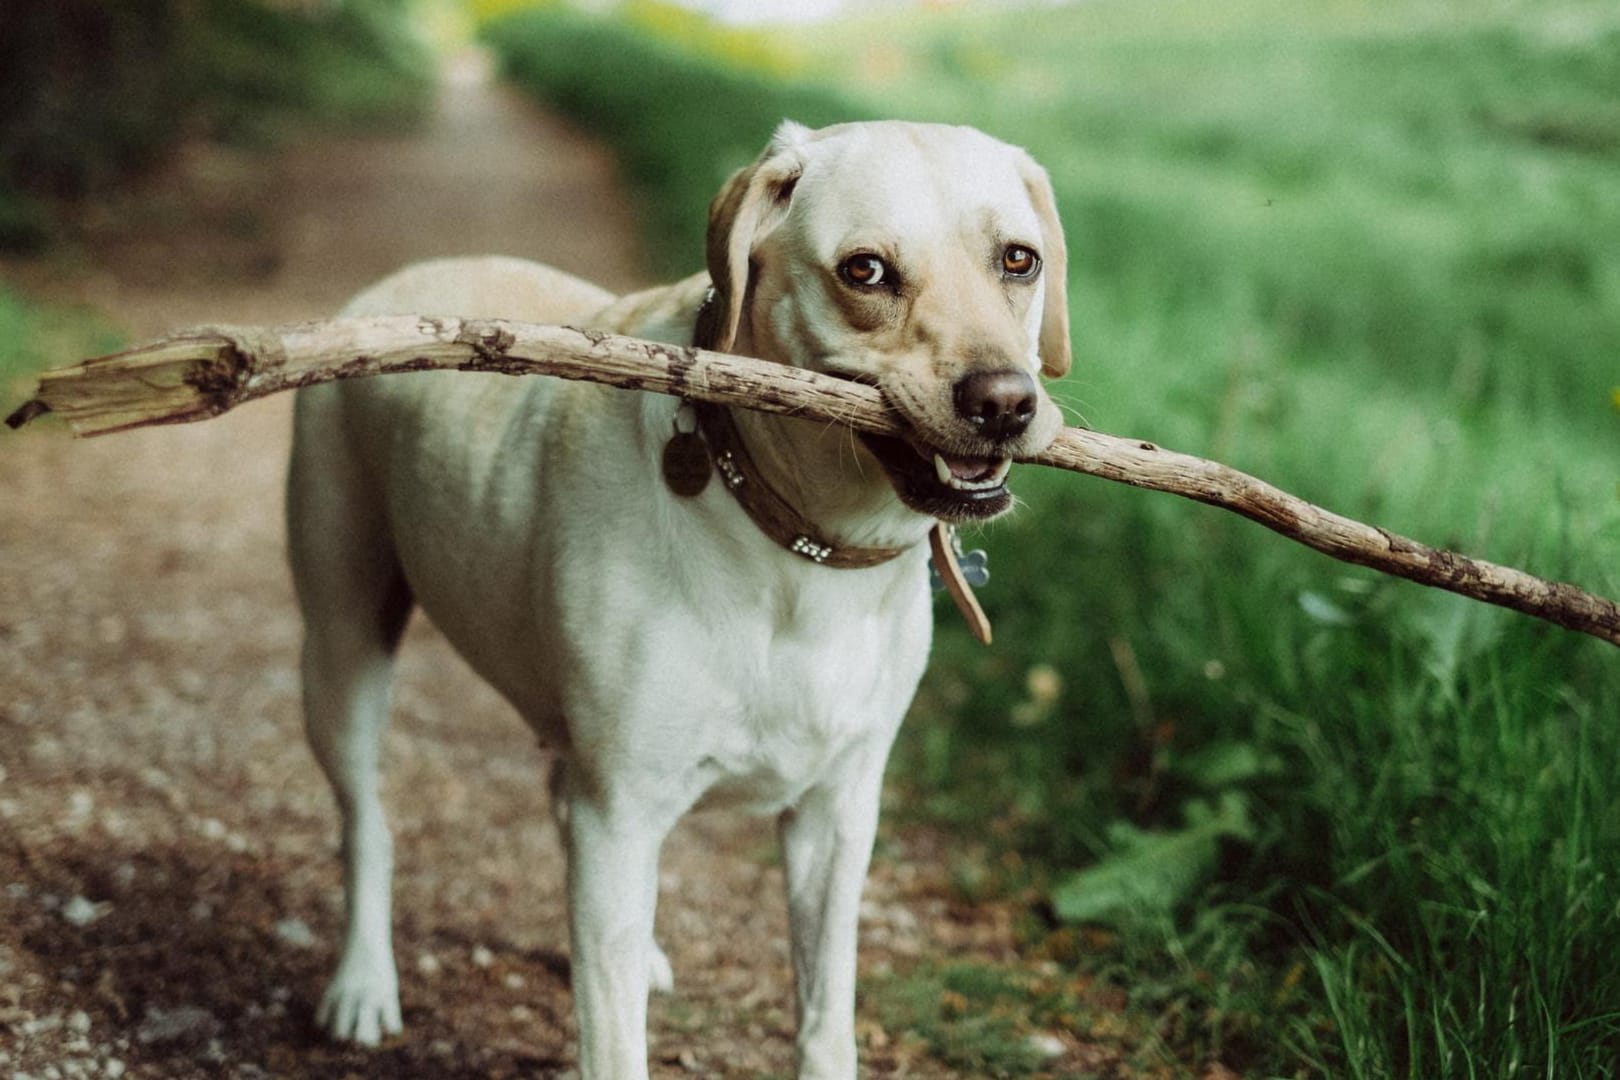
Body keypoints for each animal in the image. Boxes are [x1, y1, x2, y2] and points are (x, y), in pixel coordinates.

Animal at [285, 120, 1069, 1080]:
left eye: (1019, 260)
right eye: (866, 271)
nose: (1004, 402)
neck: (798, 548)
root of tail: (394, 282)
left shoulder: (837, 812)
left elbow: (825, 1013)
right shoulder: (622, 811)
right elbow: (614, 1040)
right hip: (343, 644)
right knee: (368, 822)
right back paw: (362, 983)